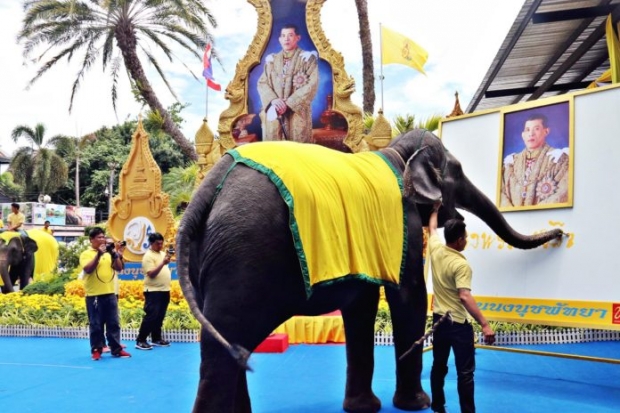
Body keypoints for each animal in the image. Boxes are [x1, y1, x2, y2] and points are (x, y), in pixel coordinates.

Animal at [174, 130, 560, 412]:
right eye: (459, 170)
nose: (558, 233)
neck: (397, 154)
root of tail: (206, 188)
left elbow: (362, 305)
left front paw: (363, 408)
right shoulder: (402, 223)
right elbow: (407, 296)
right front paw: (416, 404)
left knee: (231, 345)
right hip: (244, 254)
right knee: (224, 342)